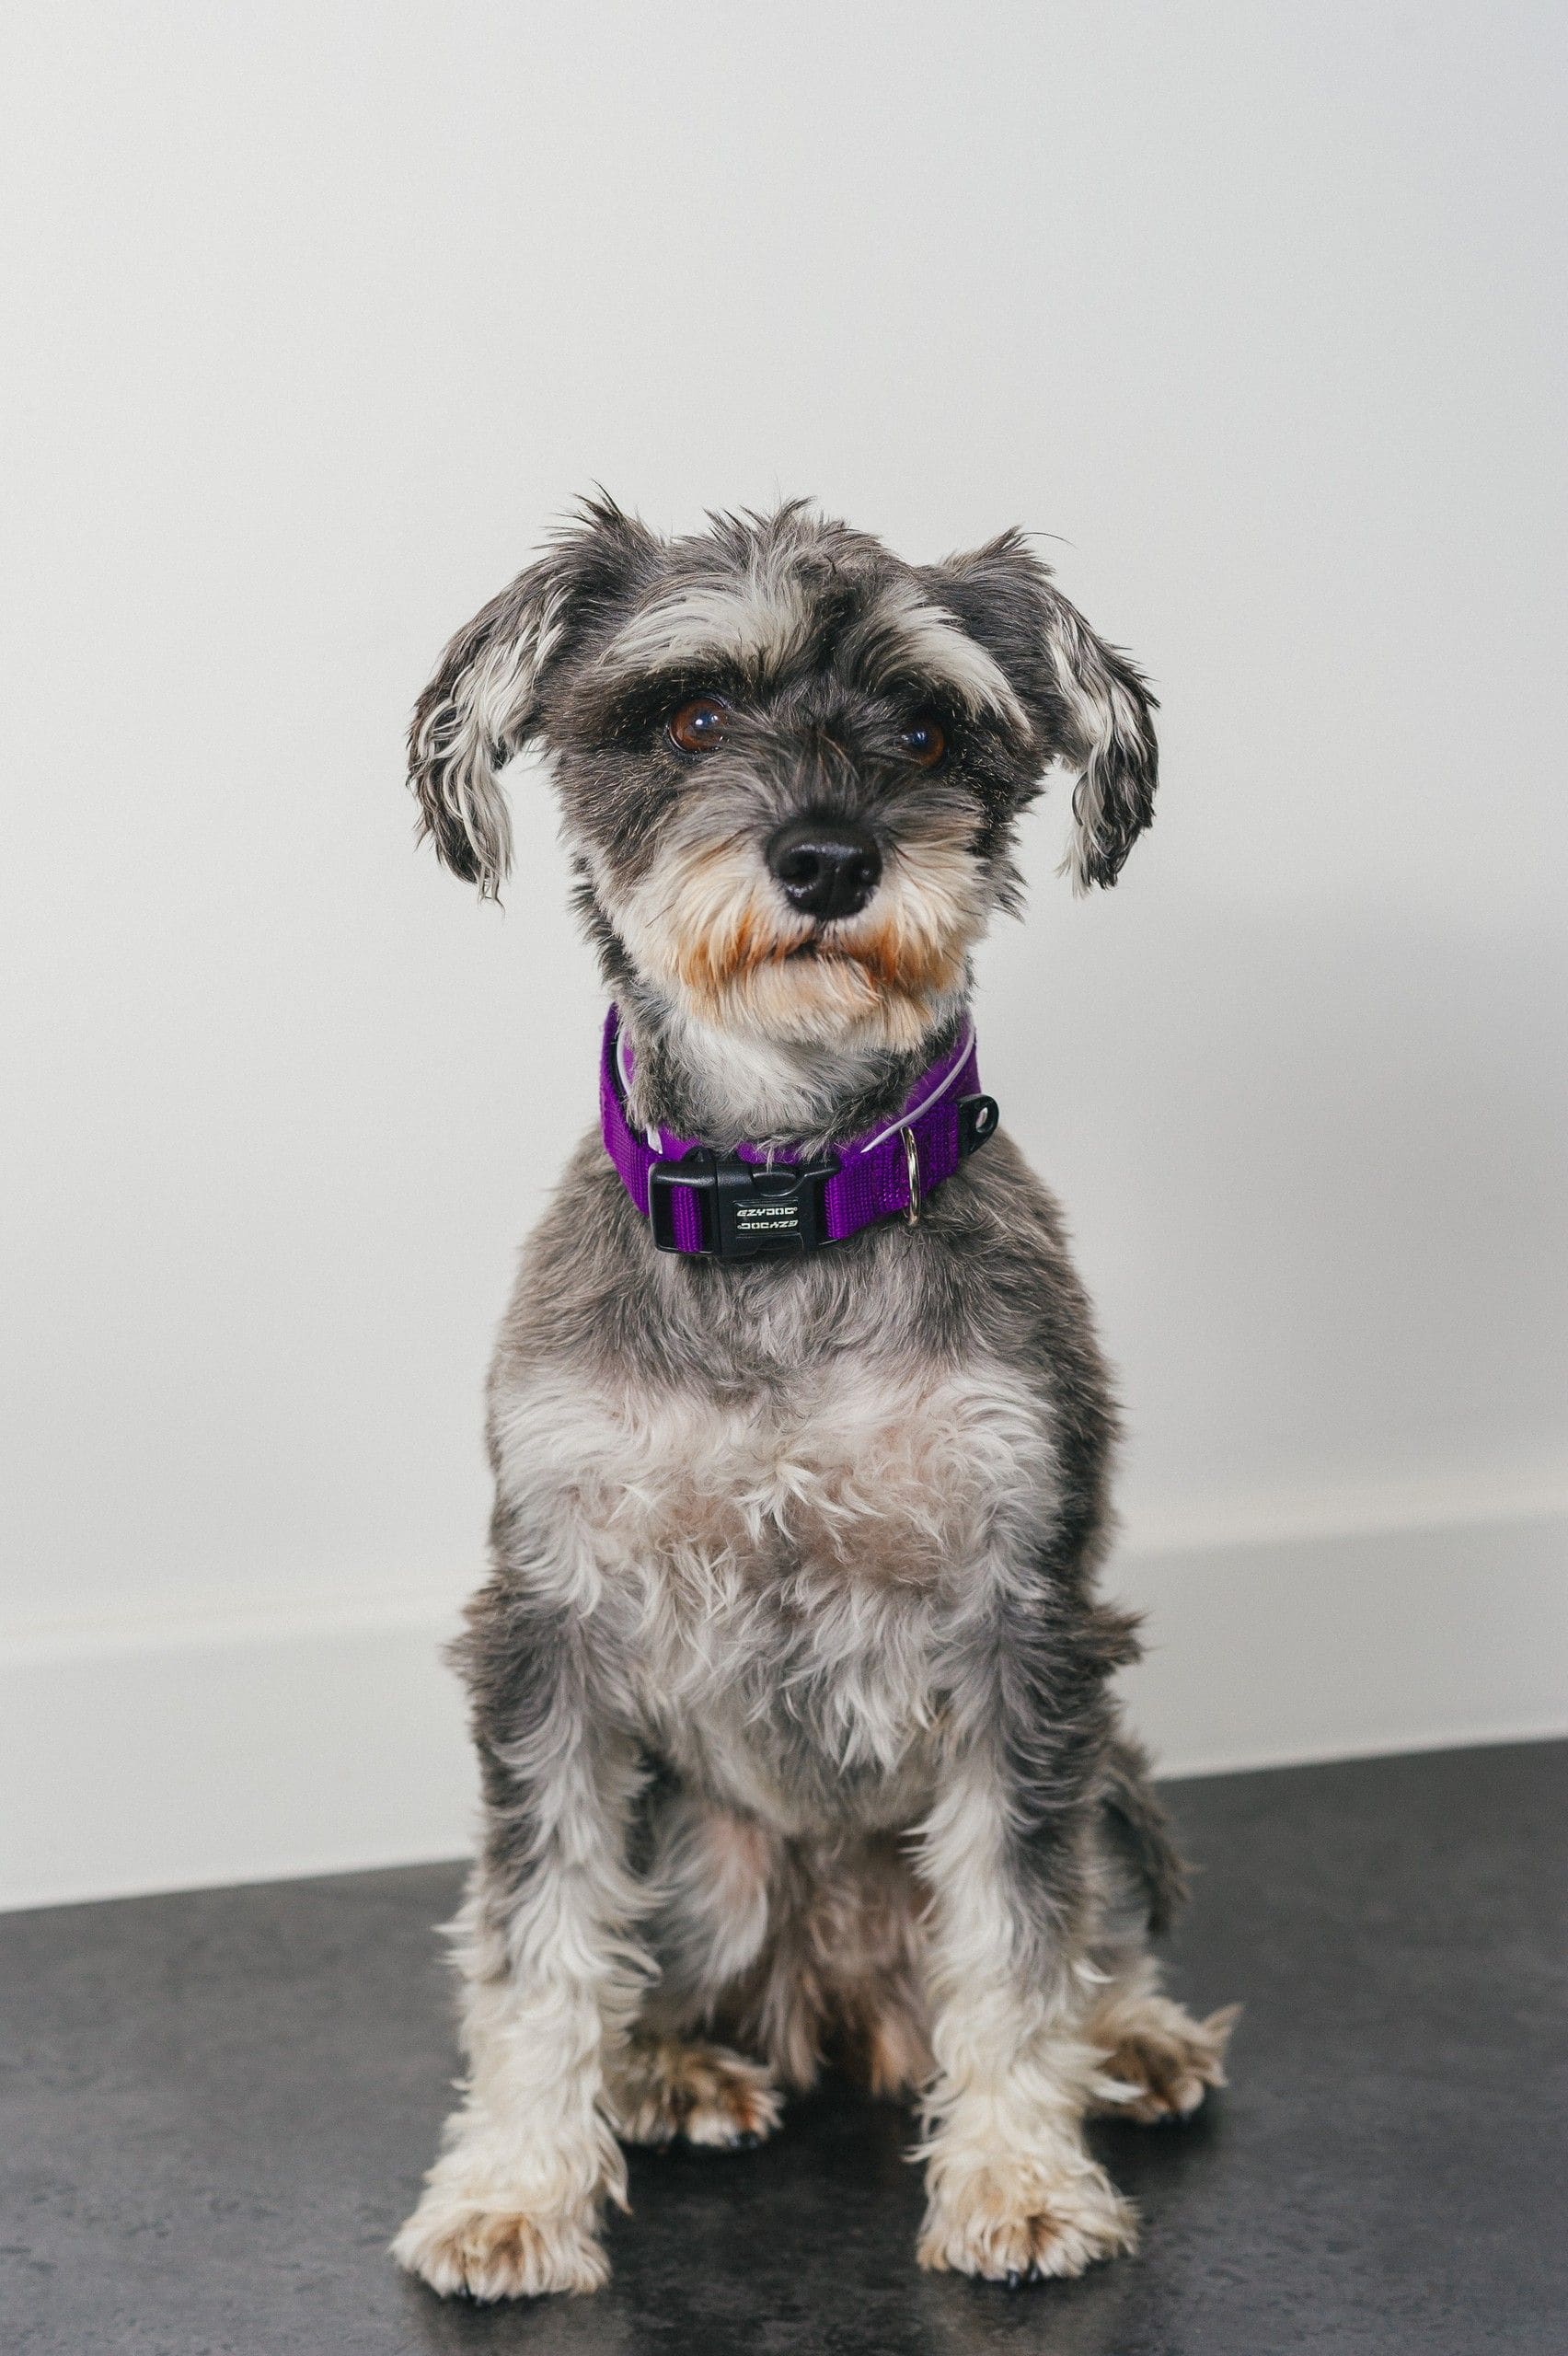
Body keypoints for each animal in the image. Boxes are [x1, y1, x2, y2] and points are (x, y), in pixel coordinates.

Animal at [391, 498, 1235, 2299]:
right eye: (691, 714)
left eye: (926, 729)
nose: (831, 862)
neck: (783, 1200)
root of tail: (838, 2006)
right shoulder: (550, 1632)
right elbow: (535, 1937)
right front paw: (509, 2193)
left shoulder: (1023, 1628)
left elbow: (1019, 1933)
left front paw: (1019, 2180)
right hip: (692, 1843)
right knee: (643, 1960)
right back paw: (666, 2071)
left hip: (1116, 1782)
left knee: (1085, 1926)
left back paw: (1126, 2043)